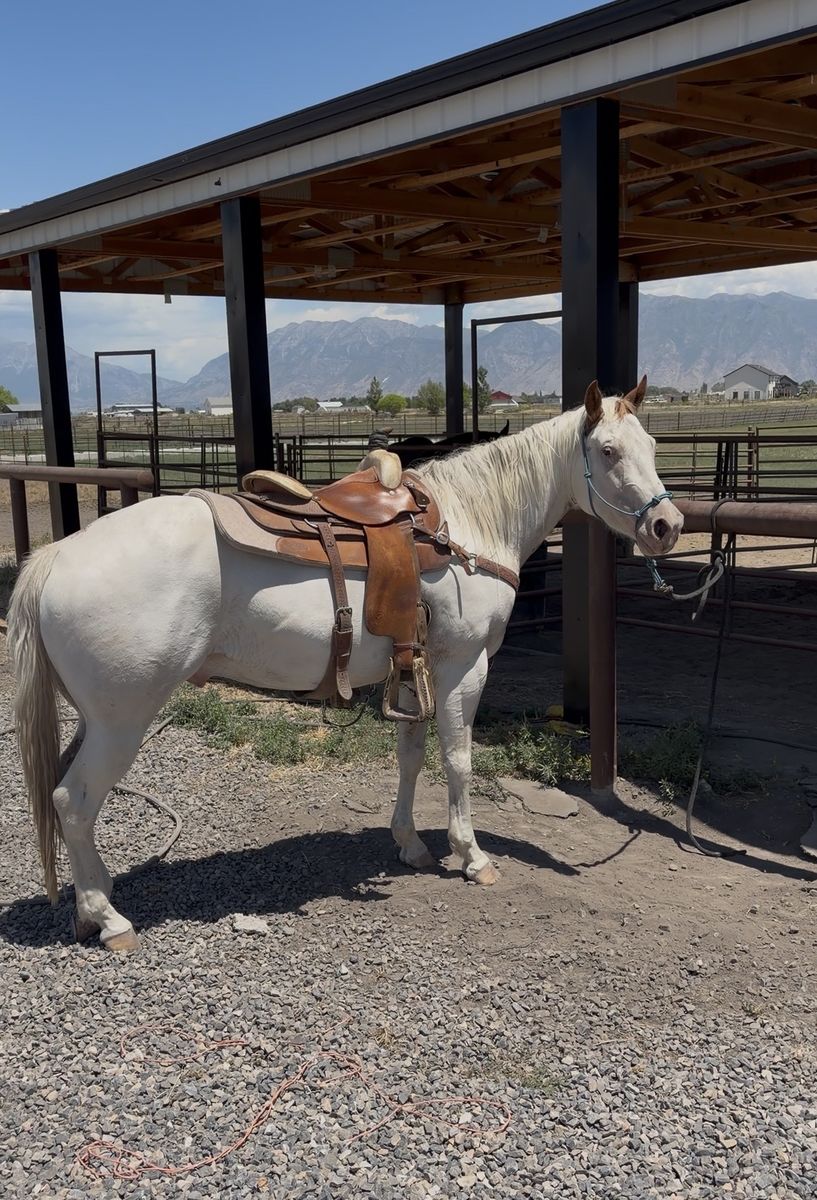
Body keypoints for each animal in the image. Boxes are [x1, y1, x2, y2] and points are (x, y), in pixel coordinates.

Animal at [8, 378, 682, 951]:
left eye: (652, 445)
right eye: (609, 451)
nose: (666, 525)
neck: (467, 528)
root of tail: (56, 557)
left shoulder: (415, 669)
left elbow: (412, 756)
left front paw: (411, 845)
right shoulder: (463, 668)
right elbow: (458, 760)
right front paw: (472, 856)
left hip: (95, 720)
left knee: (65, 797)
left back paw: (90, 904)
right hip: (122, 720)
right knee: (73, 800)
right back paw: (109, 918)